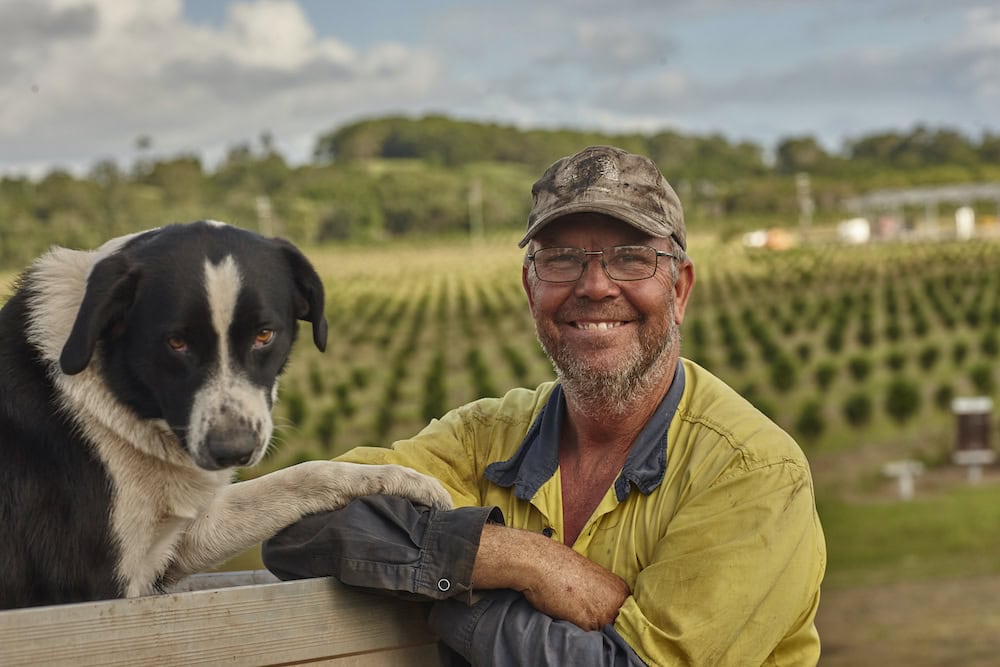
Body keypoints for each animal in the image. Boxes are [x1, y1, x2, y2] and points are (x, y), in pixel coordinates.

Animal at [0, 223, 452, 612]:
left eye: (264, 335)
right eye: (176, 342)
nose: (232, 450)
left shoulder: (182, 540)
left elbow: (304, 475)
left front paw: (403, 480)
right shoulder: (95, 590)